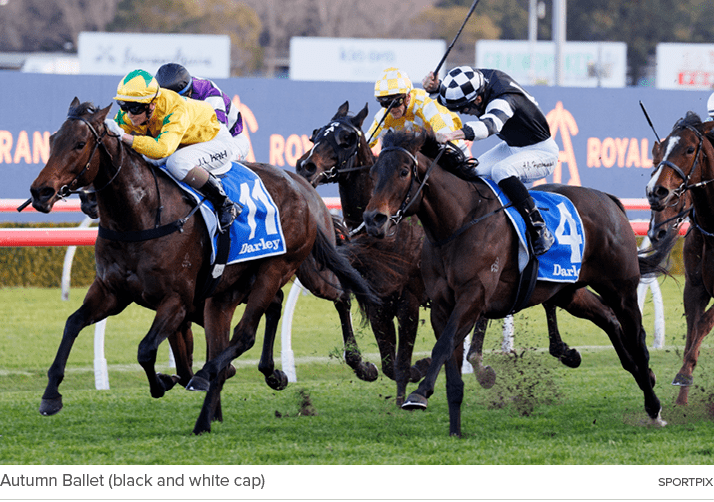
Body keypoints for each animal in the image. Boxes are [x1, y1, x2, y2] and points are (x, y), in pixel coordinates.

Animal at [29, 98, 372, 436]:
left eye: (79, 144)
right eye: (52, 141)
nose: (40, 191)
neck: (142, 214)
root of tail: (301, 185)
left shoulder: (176, 301)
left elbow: (146, 350)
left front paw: (162, 382)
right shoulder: (112, 292)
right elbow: (73, 323)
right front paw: (51, 396)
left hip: (290, 268)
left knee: (303, 310)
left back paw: (359, 365)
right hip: (229, 292)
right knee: (270, 309)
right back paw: (237, 393)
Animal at [298, 103, 580, 396]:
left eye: (347, 138)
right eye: (316, 134)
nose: (306, 167)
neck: (392, 235)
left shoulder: (409, 298)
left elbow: (401, 361)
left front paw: (416, 373)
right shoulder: (379, 298)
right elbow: (387, 362)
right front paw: (369, 368)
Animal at [364, 131, 664, 438]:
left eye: (403, 171)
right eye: (373, 173)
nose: (373, 219)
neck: (459, 222)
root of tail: (609, 200)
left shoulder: (473, 296)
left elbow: (443, 345)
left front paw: (419, 394)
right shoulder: (442, 304)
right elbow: (449, 357)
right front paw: (455, 428)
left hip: (621, 288)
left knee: (636, 338)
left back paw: (653, 406)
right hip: (568, 291)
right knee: (608, 318)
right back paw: (637, 374)